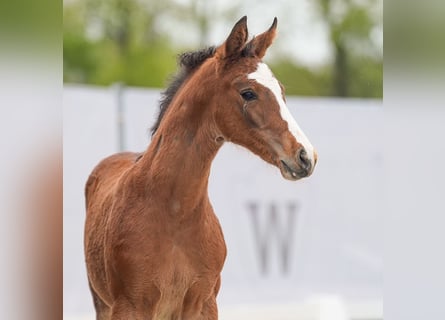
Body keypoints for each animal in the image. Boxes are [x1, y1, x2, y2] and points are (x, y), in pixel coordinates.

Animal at [84, 16, 316, 318]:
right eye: (248, 93)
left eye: (282, 92)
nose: (306, 156)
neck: (175, 213)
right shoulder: (130, 305)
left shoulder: (204, 303)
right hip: (102, 303)